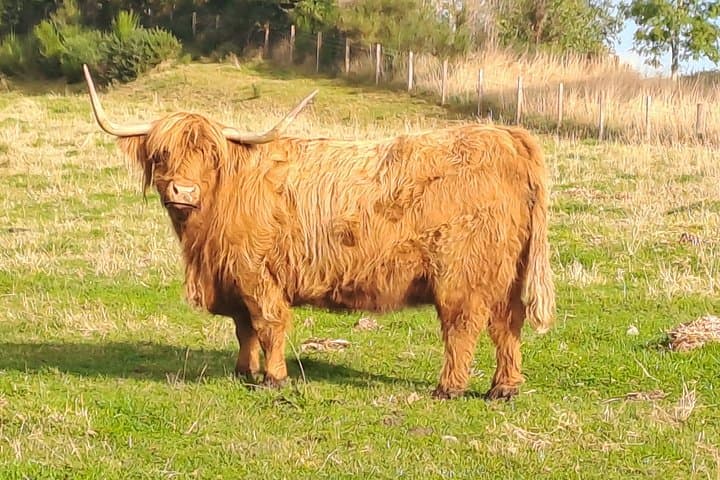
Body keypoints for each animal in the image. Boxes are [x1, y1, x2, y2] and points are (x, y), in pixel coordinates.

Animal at [82, 64, 555, 400]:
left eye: (210, 156)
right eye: (160, 154)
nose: (183, 190)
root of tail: (507, 135)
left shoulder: (257, 274)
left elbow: (268, 324)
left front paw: (273, 379)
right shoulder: (233, 278)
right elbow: (243, 328)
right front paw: (243, 372)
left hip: (463, 273)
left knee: (464, 326)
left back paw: (449, 388)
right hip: (505, 276)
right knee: (507, 326)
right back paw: (503, 389)